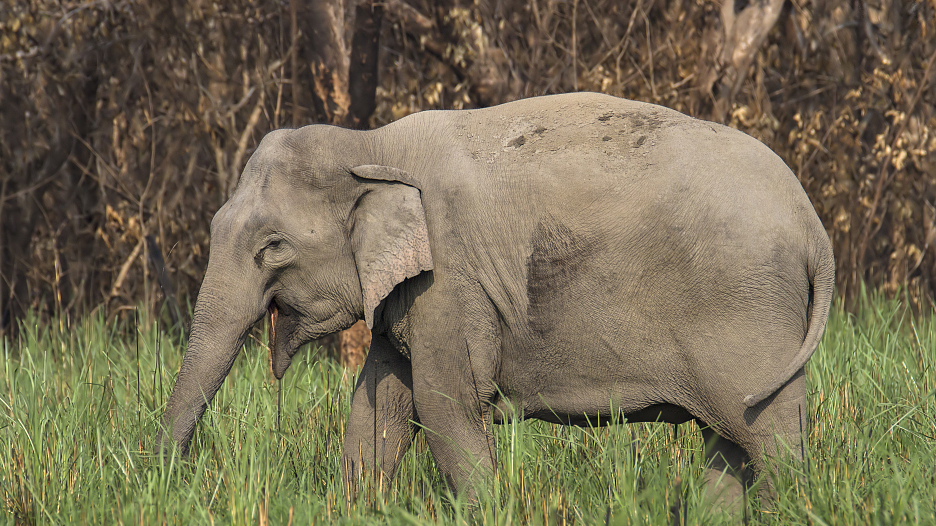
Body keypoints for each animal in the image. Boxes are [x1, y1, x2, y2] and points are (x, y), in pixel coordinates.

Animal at [157, 92, 836, 516]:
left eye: (272, 247)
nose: (166, 482)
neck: (372, 144)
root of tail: (812, 224)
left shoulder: (451, 280)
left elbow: (444, 404)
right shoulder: (414, 294)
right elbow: (378, 404)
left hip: (748, 312)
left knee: (769, 439)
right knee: (732, 443)